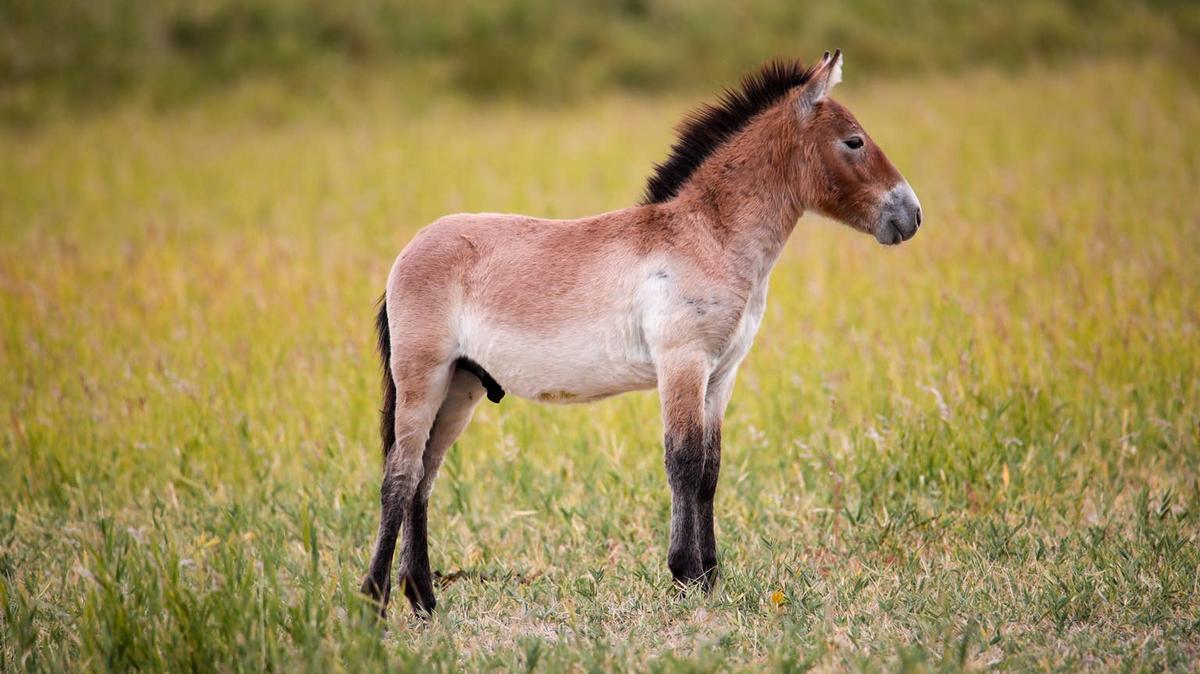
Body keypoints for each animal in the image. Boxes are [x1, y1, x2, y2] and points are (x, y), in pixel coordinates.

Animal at [360, 50, 922, 618]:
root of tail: (407, 254)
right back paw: (375, 598)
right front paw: (686, 575)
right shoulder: (682, 363)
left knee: (423, 480)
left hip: (461, 387)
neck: (708, 238)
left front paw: (710, 577)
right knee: (399, 478)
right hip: (422, 378)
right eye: (854, 141)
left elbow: (710, 470)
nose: (911, 215)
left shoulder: (721, 376)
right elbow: (684, 462)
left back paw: (423, 598)